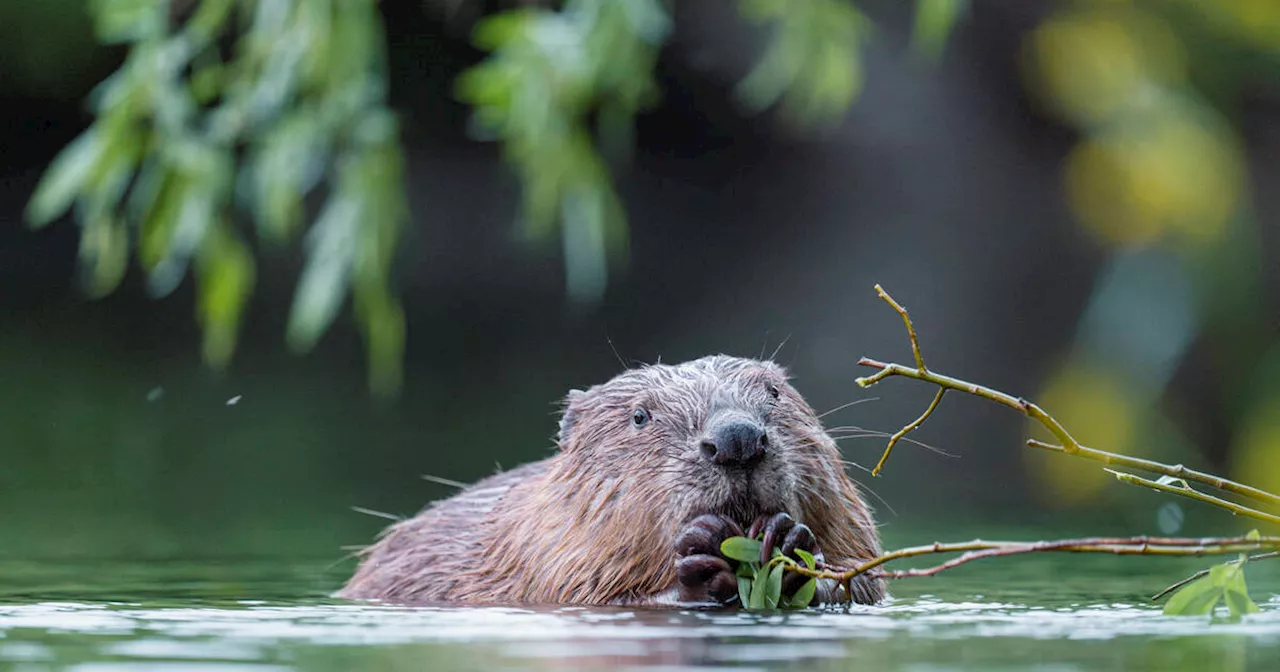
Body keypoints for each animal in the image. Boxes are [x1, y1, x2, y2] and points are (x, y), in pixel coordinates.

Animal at [335, 353, 885, 604]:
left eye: (774, 392)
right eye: (640, 416)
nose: (736, 439)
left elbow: (865, 580)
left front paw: (790, 543)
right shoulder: (540, 557)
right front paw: (701, 560)